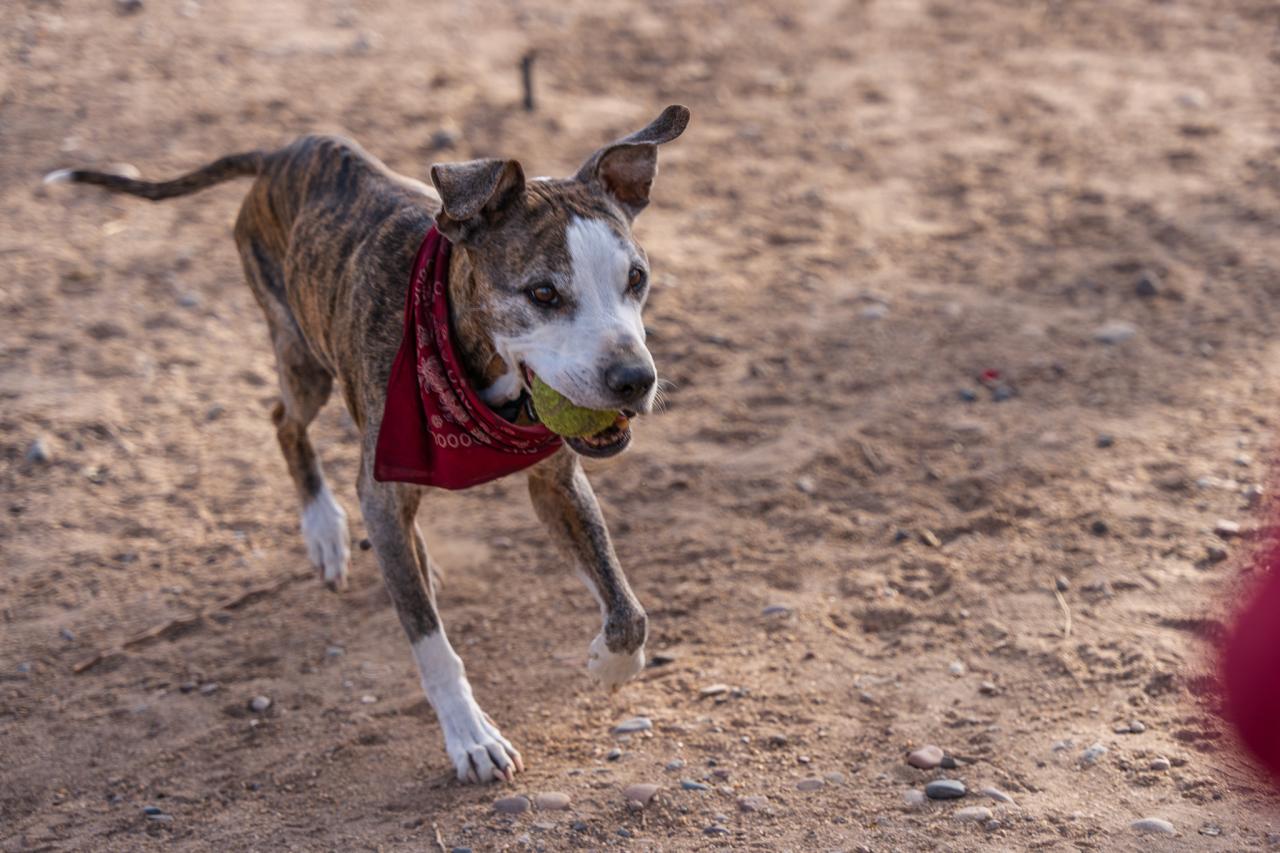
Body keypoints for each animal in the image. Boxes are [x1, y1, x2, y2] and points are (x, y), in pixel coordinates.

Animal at [47, 106, 691, 783]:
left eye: (637, 279)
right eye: (542, 293)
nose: (635, 380)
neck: (474, 362)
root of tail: (283, 152)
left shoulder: (557, 482)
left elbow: (628, 609)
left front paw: (610, 664)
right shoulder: (382, 489)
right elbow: (431, 644)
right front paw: (470, 736)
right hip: (302, 359)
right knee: (284, 421)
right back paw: (324, 530)